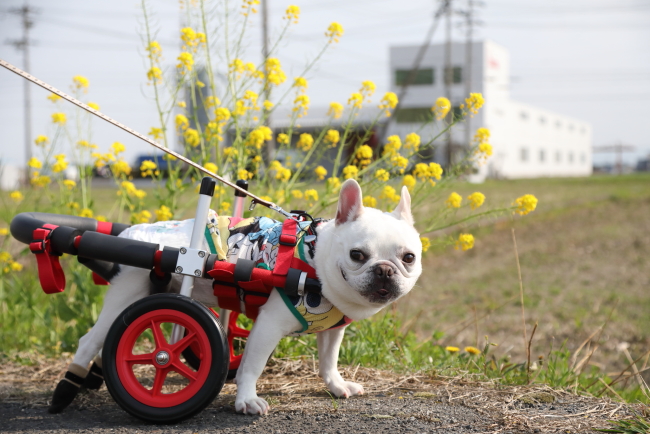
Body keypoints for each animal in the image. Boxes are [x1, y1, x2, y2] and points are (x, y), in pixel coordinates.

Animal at [48, 179, 422, 418]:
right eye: (358, 255)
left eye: (409, 258)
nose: (384, 270)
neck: (316, 260)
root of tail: (131, 233)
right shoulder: (269, 325)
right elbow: (253, 366)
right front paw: (247, 401)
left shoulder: (332, 331)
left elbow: (328, 360)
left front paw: (336, 385)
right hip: (129, 292)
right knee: (91, 340)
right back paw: (67, 387)